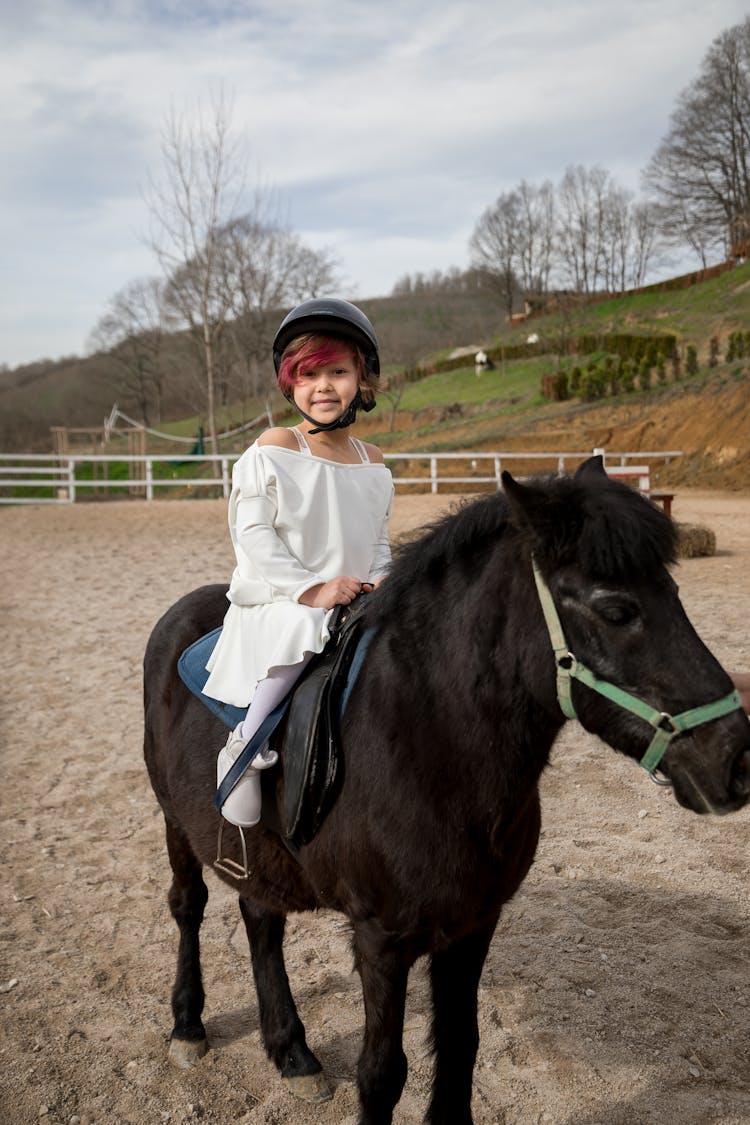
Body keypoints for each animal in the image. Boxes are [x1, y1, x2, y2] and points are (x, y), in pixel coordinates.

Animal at [143, 459, 746, 1125]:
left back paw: (292, 1051)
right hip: (174, 820)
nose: (736, 757)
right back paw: (188, 1027)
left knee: (260, 918)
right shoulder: (381, 940)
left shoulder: (473, 924)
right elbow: (382, 1073)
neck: (427, 750)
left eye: (676, 596)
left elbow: (460, 1046)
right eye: (616, 610)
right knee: (189, 906)